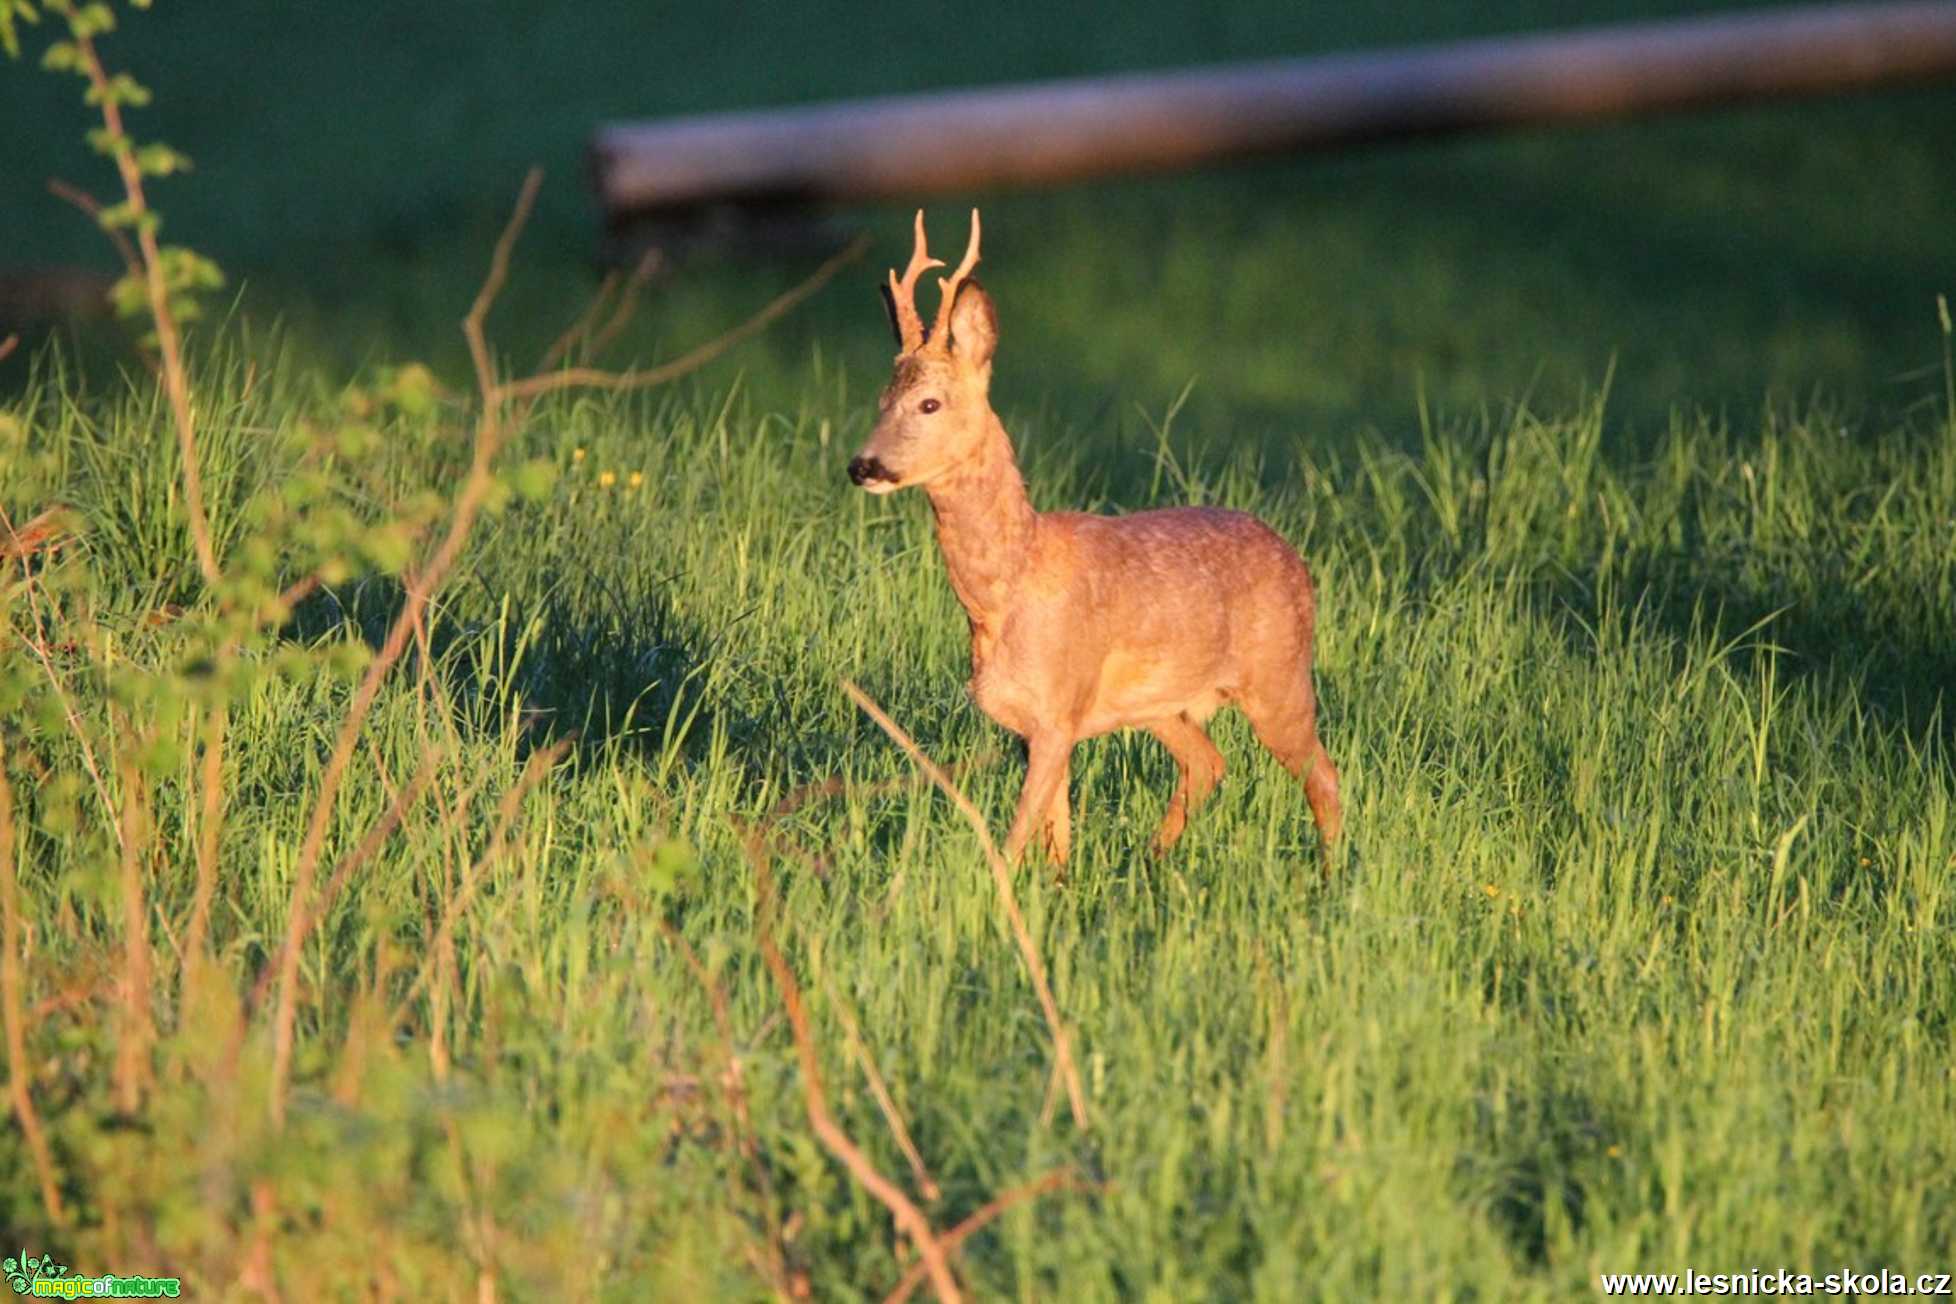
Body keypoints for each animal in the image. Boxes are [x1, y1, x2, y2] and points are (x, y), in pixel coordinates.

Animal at [848, 209, 1337, 868]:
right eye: (881, 400)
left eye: (930, 403)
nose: (864, 466)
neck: (1005, 592)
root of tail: (1295, 559)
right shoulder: (1038, 725)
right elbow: (1056, 837)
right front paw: (1058, 885)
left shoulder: (1059, 707)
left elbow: (1016, 836)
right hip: (1162, 703)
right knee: (1208, 762)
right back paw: (1152, 861)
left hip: (1279, 676)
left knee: (1323, 776)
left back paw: (1333, 874)